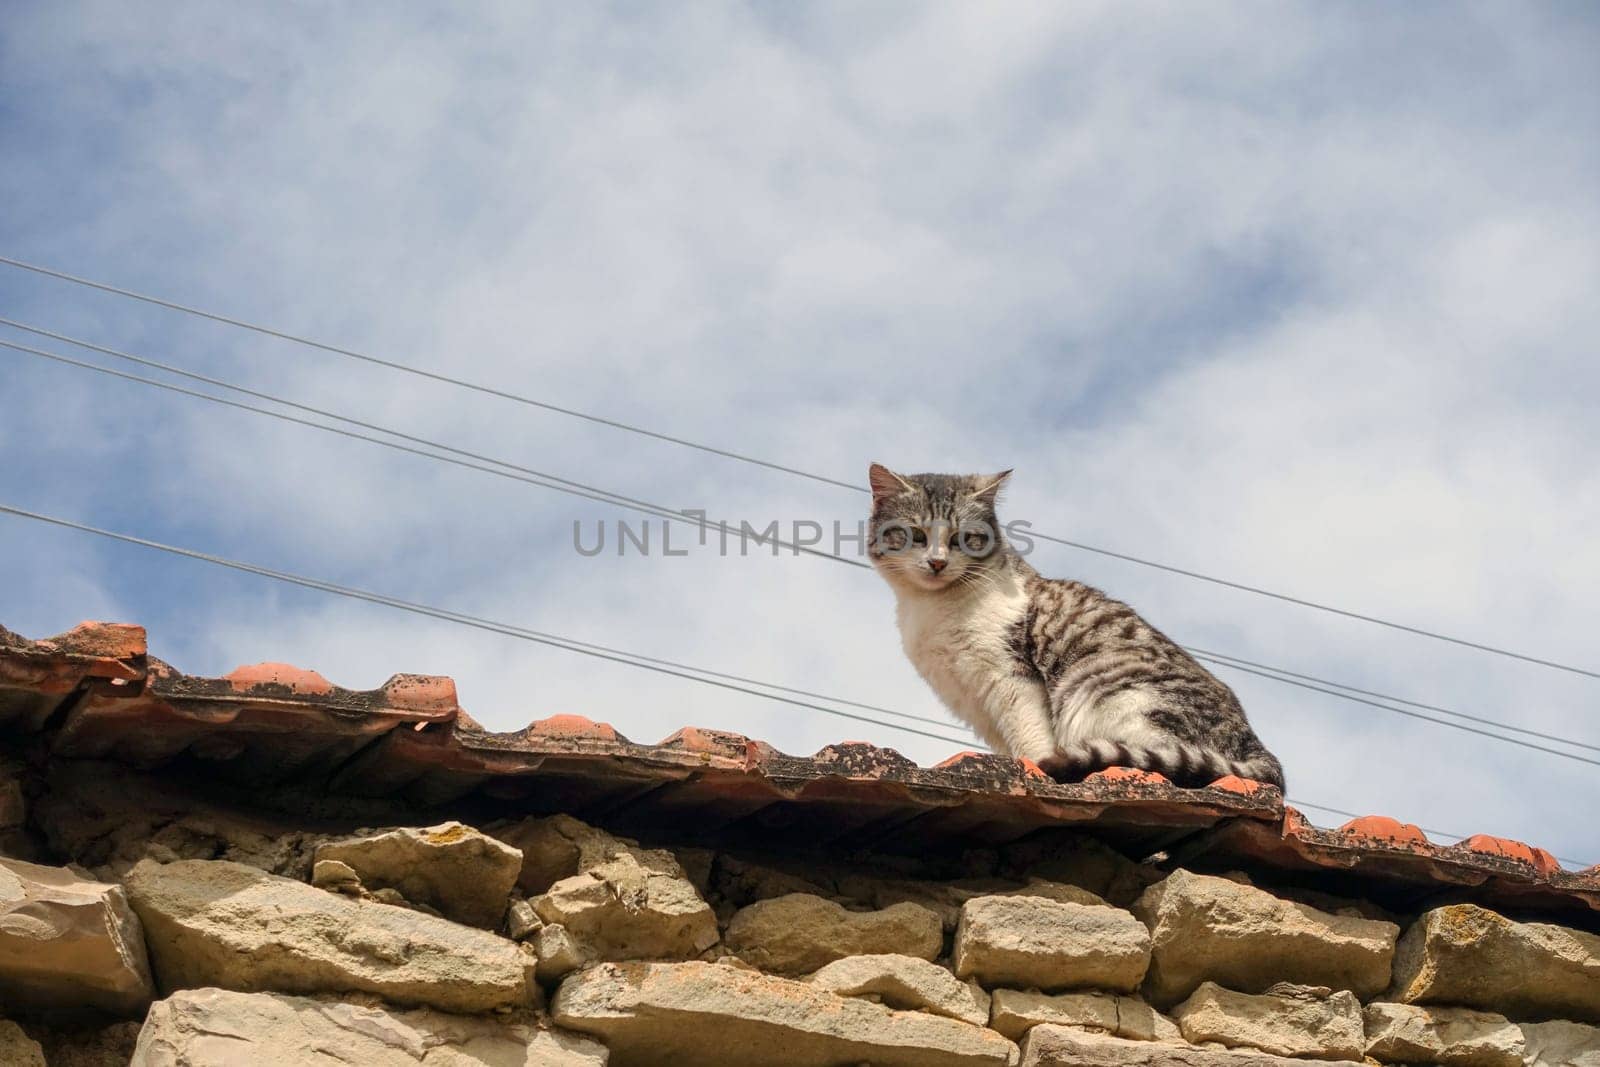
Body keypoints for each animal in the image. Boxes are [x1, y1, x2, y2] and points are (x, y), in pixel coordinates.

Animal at [864, 463, 1286, 790]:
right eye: (917, 535)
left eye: (962, 538)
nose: (936, 563)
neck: (931, 608)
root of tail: (1261, 750)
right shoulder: (975, 705)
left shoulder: (1011, 678)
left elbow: (1032, 739)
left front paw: (1038, 765)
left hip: (1115, 699)